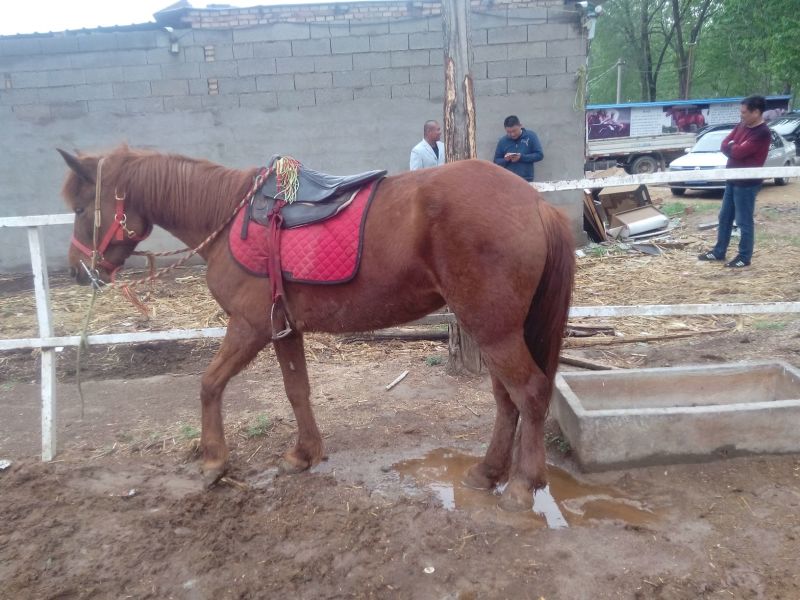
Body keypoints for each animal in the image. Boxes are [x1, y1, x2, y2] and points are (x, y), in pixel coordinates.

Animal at [57, 148, 576, 508]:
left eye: (82, 209)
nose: (80, 273)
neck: (228, 216)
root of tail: (535, 203)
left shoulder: (249, 328)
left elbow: (209, 384)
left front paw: (213, 460)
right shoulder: (283, 329)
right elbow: (297, 391)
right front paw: (303, 454)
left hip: (493, 330)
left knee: (529, 392)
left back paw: (521, 485)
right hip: (493, 328)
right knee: (507, 399)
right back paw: (487, 473)